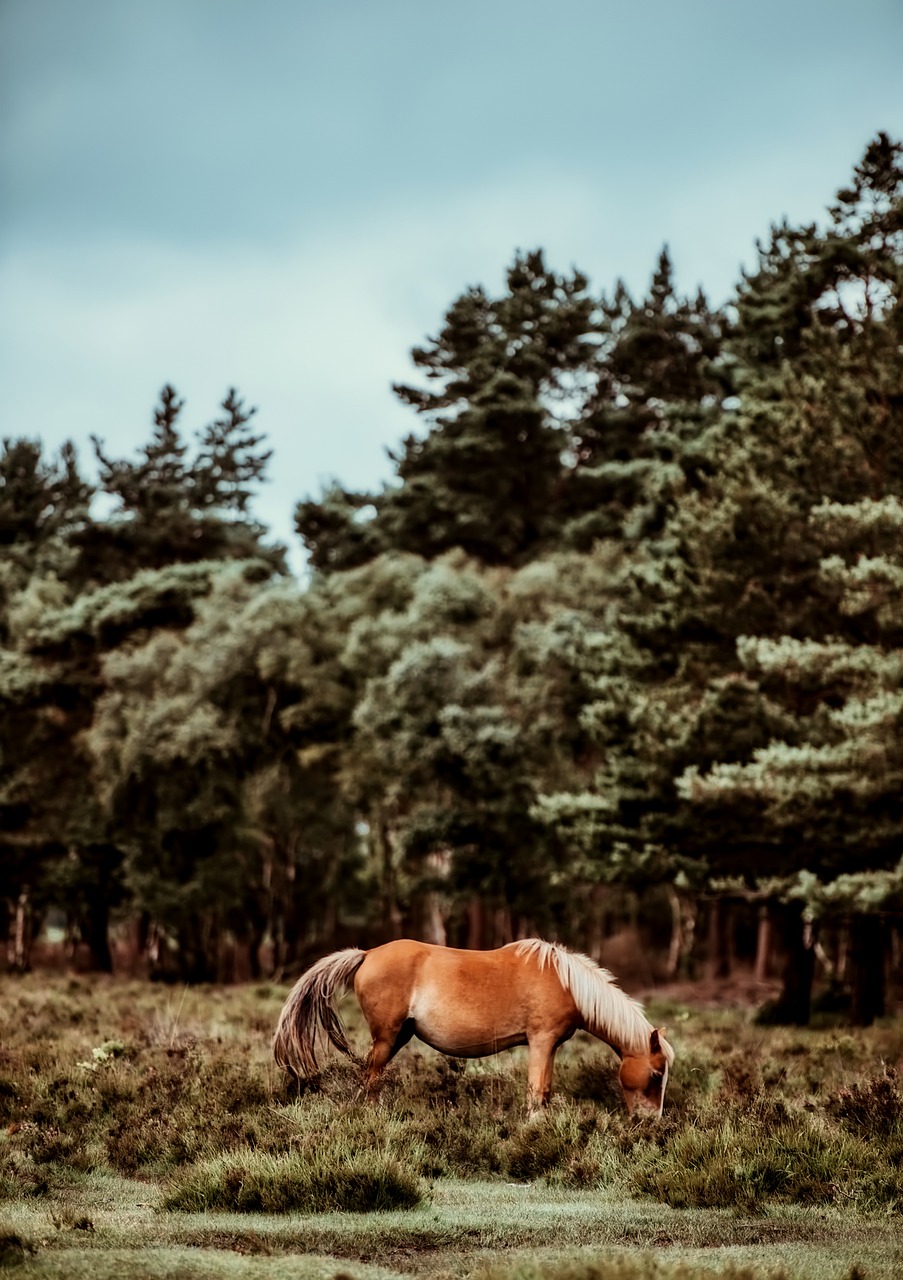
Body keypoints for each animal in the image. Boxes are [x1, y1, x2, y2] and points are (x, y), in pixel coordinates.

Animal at [274, 936, 676, 1116]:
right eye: (656, 1075)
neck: (565, 982)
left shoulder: (550, 1047)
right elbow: (536, 1092)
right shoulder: (541, 1041)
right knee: (371, 1081)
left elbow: (544, 1090)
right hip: (387, 1038)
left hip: (400, 1036)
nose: (651, 1121)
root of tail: (368, 954)